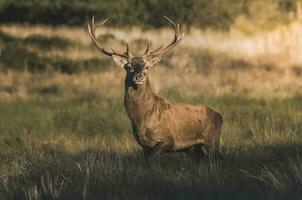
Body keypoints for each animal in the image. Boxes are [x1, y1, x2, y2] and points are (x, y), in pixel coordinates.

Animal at [87, 16, 222, 166]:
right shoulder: (144, 145)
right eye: (129, 67)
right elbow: (148, 162)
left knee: (218, 159)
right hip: (194, 148)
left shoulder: (170, 139)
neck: (141, 119)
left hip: (212, 141)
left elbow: (151, 159)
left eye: (146, 67)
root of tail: (220, 116)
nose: (139, 76)